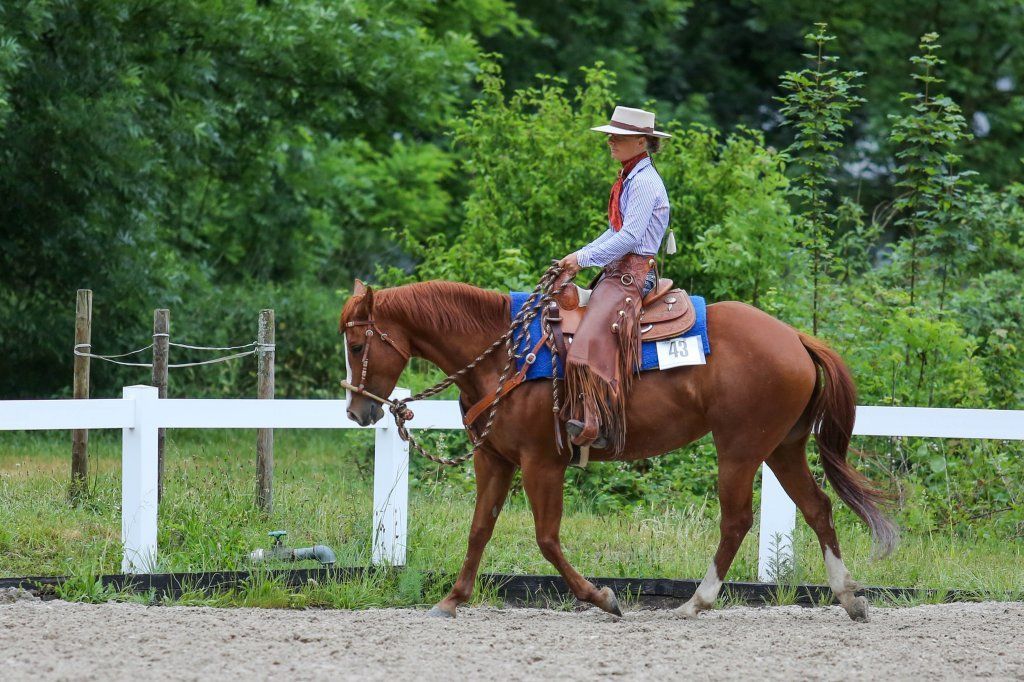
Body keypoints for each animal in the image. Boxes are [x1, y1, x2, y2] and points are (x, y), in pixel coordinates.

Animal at [339, 279, 897, 621]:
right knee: (818, 508)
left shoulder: (542, 463)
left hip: (739, 450)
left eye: (357, 345)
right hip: (782, 448)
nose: (357, 411)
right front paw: (452, 599)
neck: (505, 355)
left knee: (737, 521)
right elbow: (480, 530)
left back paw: (696, 602)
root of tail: (796, 337)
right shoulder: (492, 459)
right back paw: (849, 598)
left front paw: (602, 597)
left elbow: (546, 538)